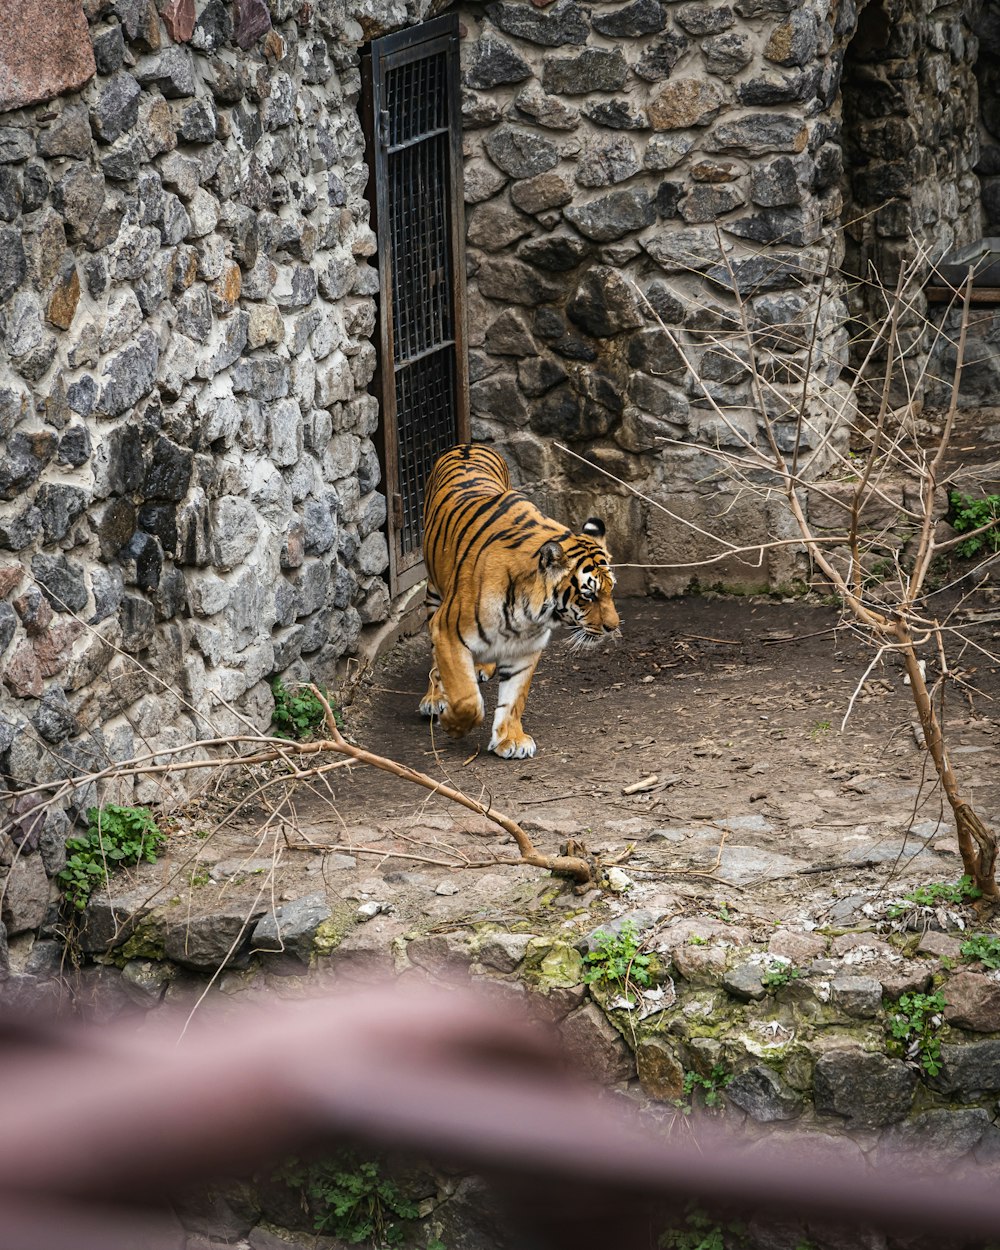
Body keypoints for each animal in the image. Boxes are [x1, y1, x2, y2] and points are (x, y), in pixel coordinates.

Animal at [415, 447, 617, 760]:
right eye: (588, 595)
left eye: (610, 590)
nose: (613, 627)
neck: (530, 613)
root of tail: (467, 446)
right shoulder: (447, 630)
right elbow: (466, 698)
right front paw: (453, 724)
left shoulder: (526, 647)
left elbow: (513, 699)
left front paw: (510, 740)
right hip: (434, 595)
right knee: (437, 664)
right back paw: (435, 697)